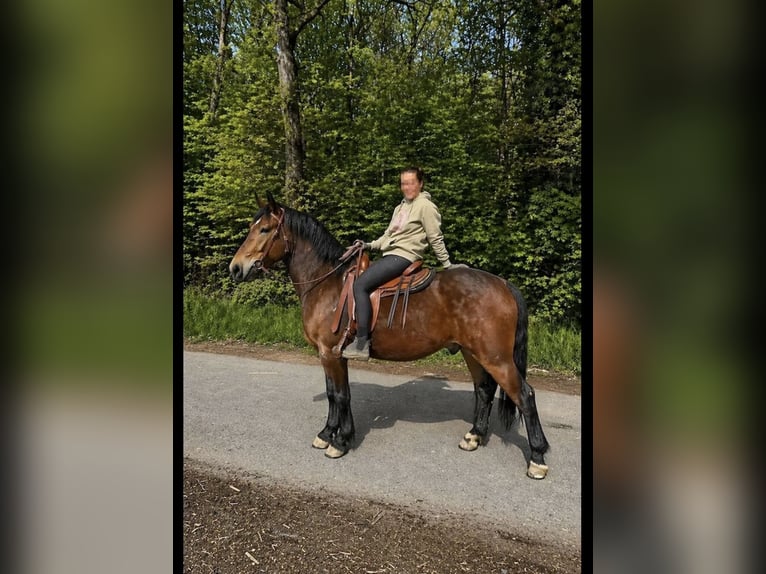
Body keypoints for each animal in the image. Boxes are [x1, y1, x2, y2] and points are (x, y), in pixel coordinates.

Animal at [229, 193, 550, 479]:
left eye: (264, 229)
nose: (236, 268)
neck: (327, 284)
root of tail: (503, 283)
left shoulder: (330, 353)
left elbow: (340, 395)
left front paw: (340, 441)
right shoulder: (330, 354)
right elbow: (335, 394)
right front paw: (328, 433)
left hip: (496, 357)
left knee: (524, 395)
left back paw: (537, 458)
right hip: (473, 353)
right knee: (484, 390)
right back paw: (474, 436)